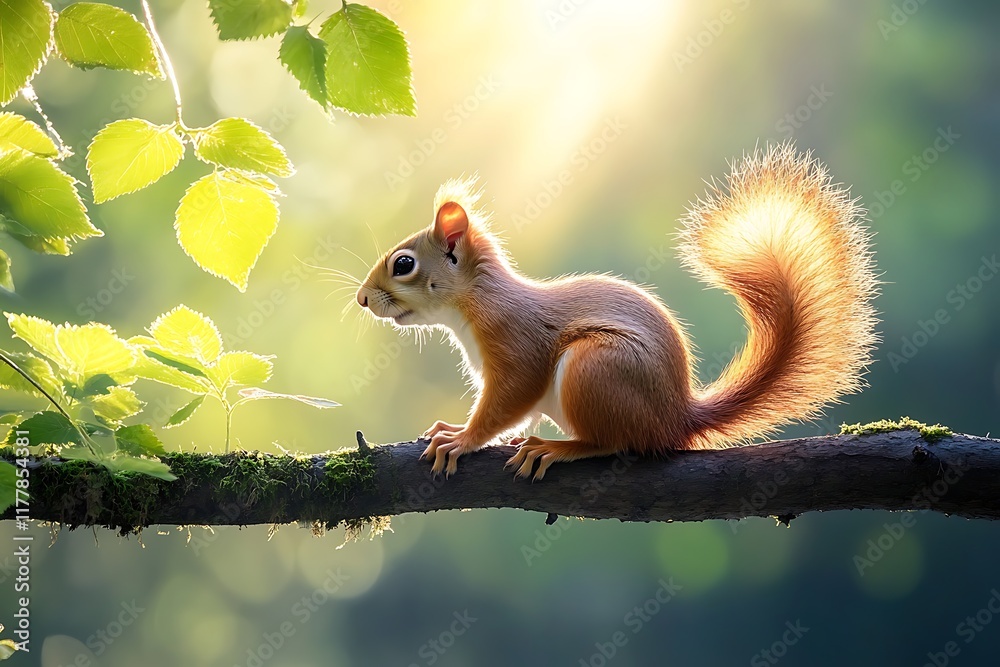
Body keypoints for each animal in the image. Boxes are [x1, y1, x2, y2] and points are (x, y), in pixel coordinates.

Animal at [356, 143, 878, 480]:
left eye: (403, 264)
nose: (362, 299)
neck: (474, 302)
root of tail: (675, 417)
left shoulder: (516, 342)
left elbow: (511, 400)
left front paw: (462, 438)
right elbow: (520, 415)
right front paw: (459, 429)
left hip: (595, 368)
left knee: (614, 443)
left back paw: (559, 448)